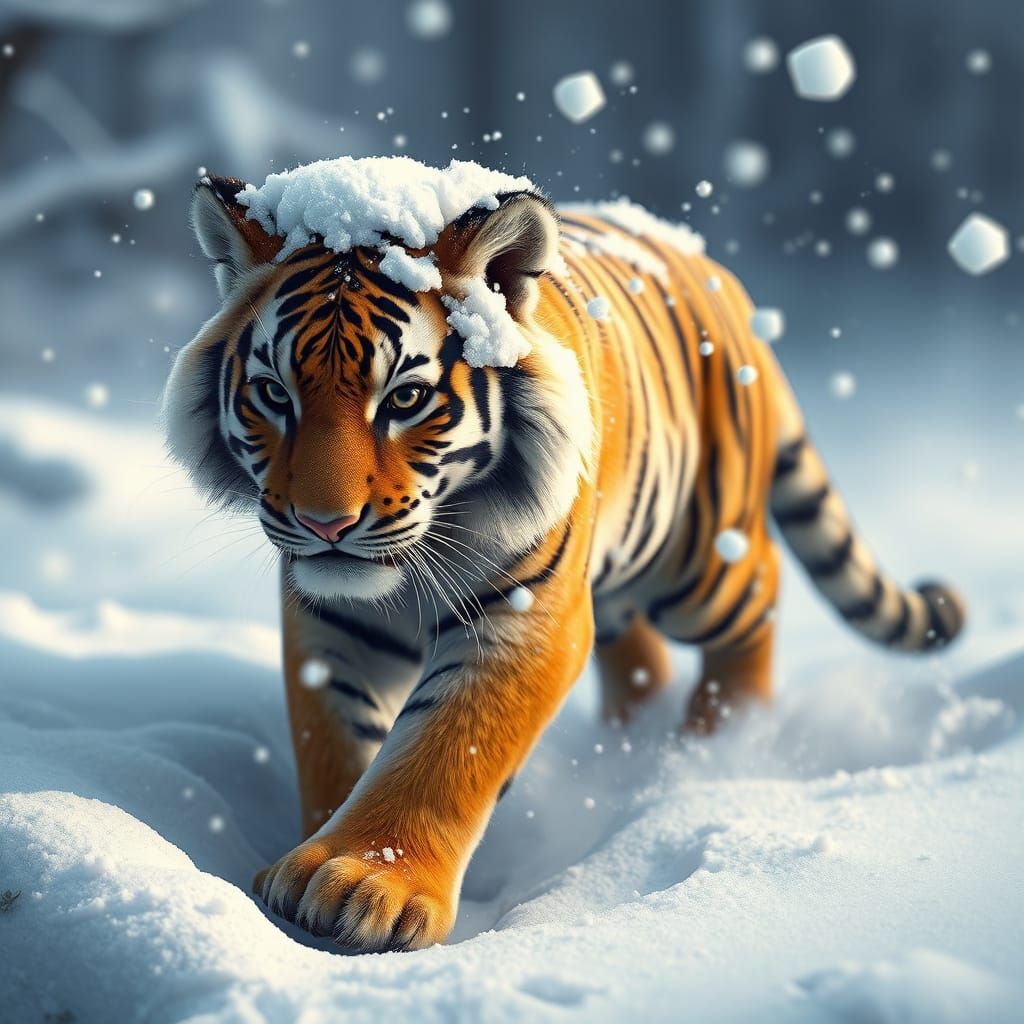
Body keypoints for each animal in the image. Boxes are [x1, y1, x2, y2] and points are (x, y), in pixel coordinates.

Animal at [163, 164, 964, 954]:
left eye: (407, 398)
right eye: (273, 394)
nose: (322, 524)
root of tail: (714, 271)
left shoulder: (524, 614)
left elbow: (445, 746)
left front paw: (364, 883)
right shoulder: (331, 626)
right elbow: (332, 741)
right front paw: (309, 867)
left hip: (699, 560)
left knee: (759, 591)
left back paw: (715, 745)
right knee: (639, 655)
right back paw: (631, 747)